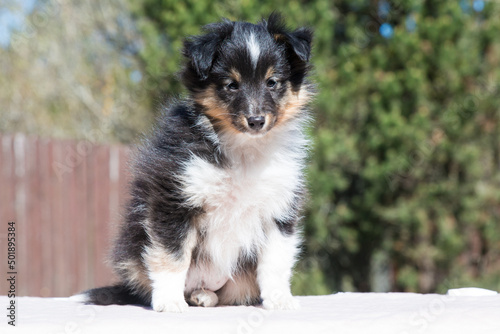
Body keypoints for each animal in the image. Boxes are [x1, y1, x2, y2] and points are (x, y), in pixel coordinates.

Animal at [74, 11, 312, 312]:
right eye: (231, 85)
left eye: (272, 82)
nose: (256, 120)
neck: (243, 147)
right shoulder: (174, 199)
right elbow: (171, 255)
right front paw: (169, 301)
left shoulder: (279, 208)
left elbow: (276, 260)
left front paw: (280, 299)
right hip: (133, 247)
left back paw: (204, 296)